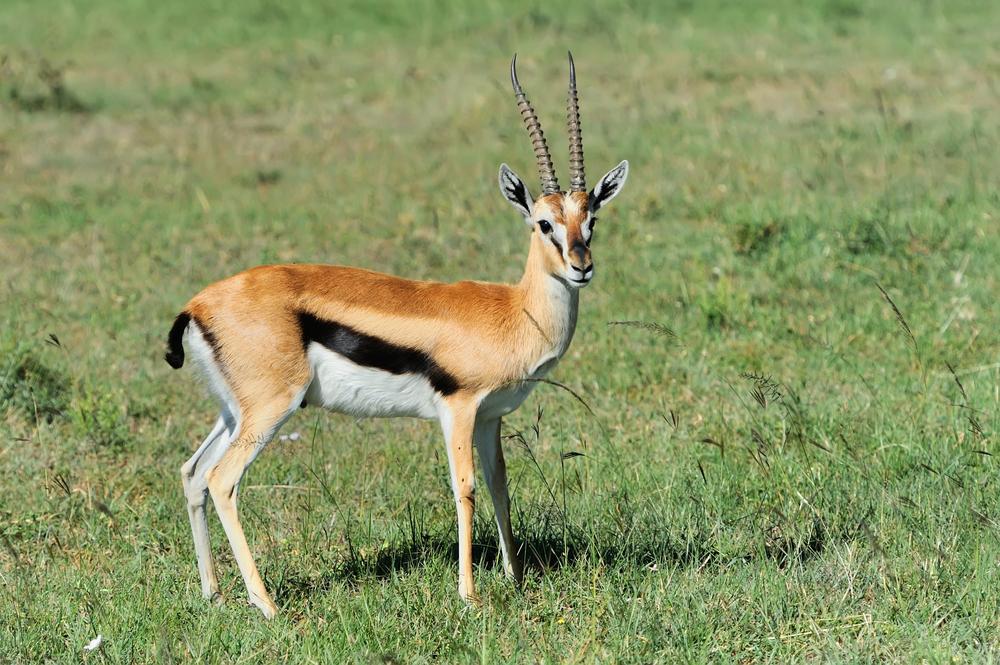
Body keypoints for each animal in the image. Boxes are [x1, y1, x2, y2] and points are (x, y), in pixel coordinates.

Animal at [166, 53, 628, 618]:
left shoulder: (491, 417)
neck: (514, 312)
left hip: (234, 413)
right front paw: (469, 595)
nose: (581, 267)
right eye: (543, 223)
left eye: (592, 219)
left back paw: (212, 593)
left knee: (193, 472)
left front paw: (516, 579)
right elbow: (465, 488)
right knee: (222, 480)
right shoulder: (459, 408)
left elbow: (500, 485)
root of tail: (196, 306)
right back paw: (267, 605)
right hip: (271, 409)